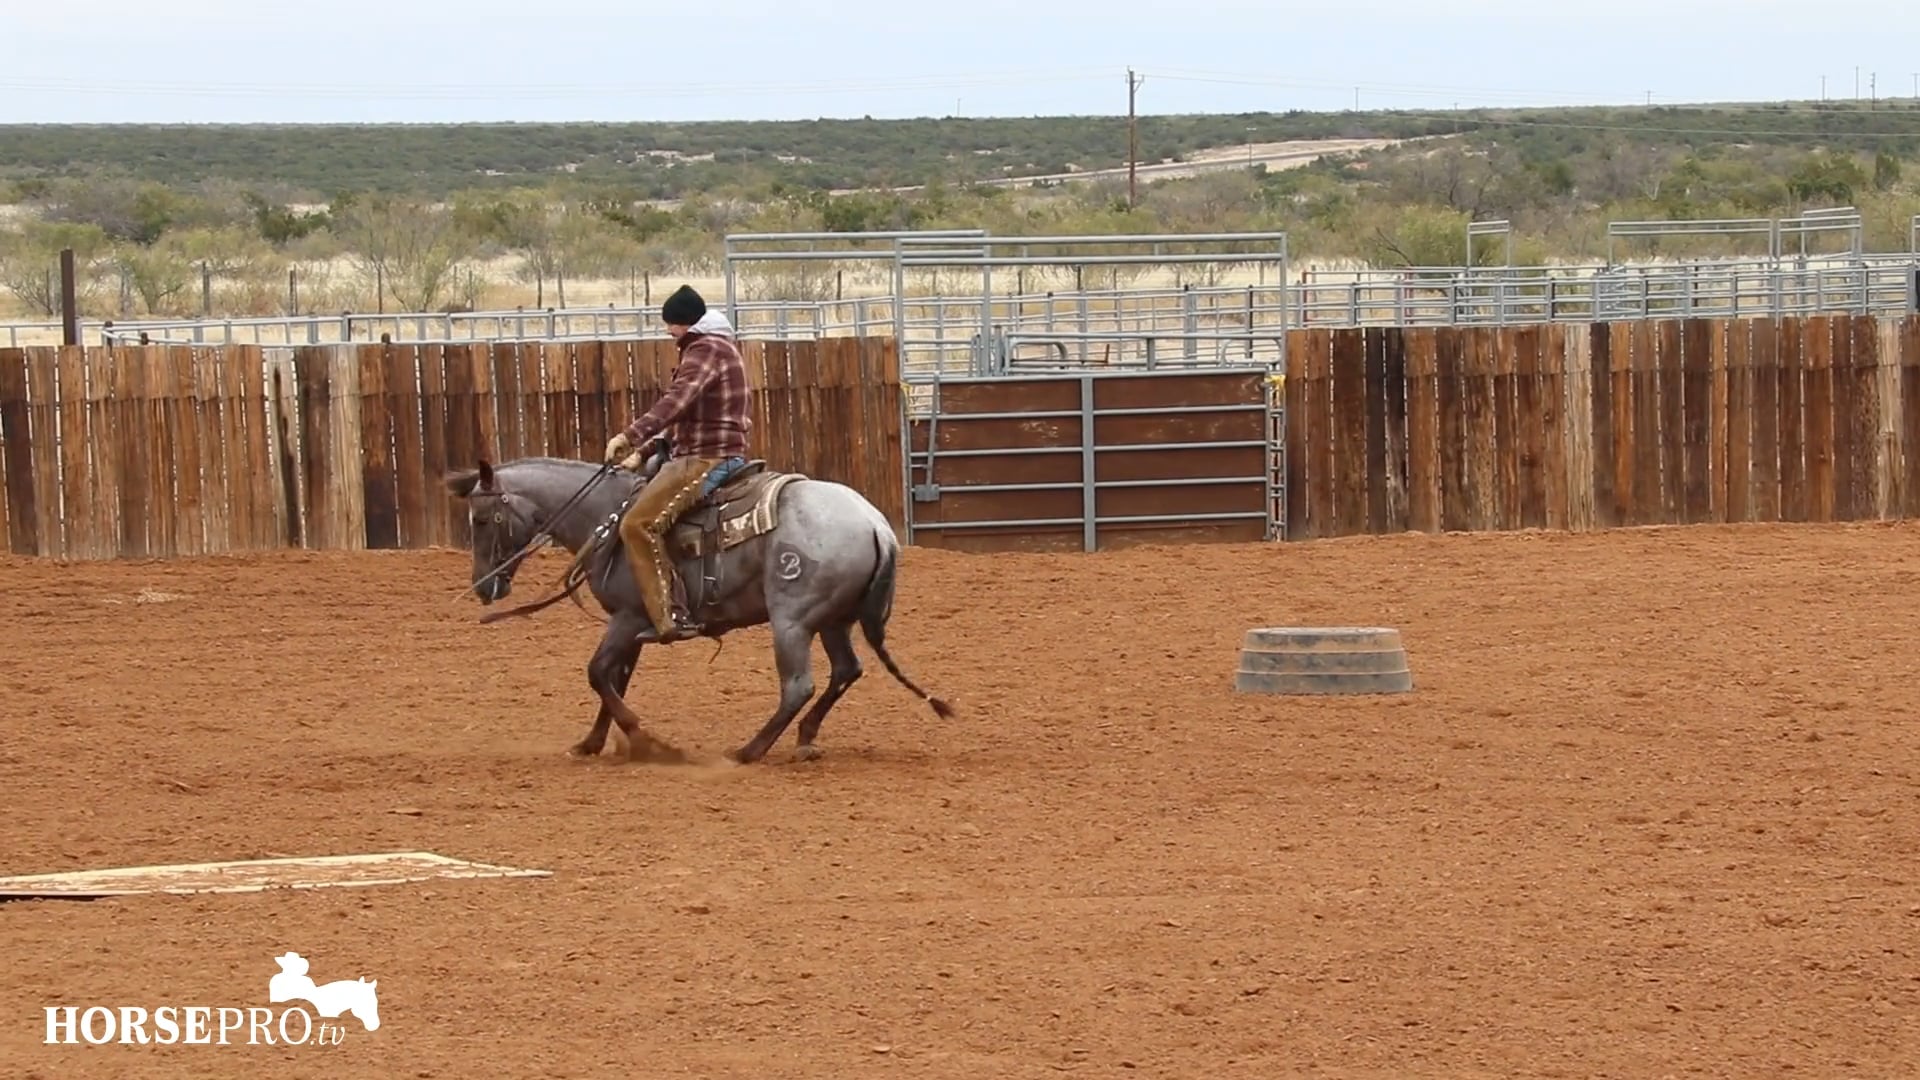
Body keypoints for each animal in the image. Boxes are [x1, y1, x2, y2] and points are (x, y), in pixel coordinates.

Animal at [442, 450, 953, 764]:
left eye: (482, 518)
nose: (483, 587)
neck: (607, 515)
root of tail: (877, 526)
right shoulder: (634, 624)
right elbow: (615, 679)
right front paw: (593, 742)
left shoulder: (626, 620)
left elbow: (597, 673)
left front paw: (648, 743)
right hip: (833, 620)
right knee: (846, 671)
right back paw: (805, 739)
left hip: (792, 621)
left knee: (798, 686)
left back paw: (747, 751)